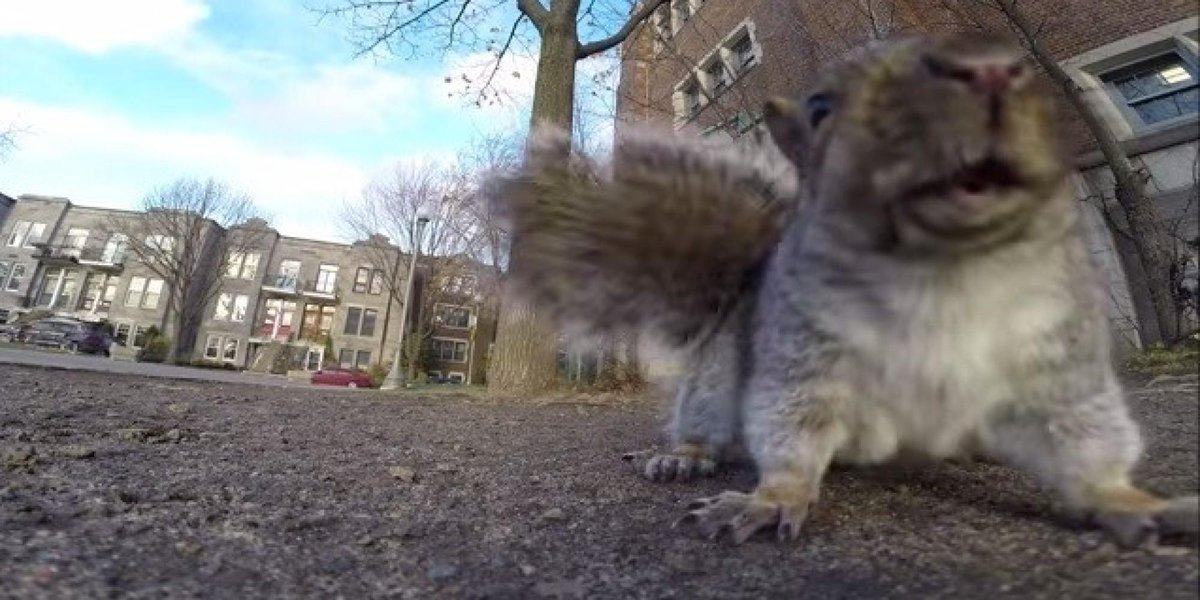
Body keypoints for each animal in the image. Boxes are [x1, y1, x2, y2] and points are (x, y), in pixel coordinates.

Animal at [487, 32, 1199, 547]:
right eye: (821, 109)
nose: (987, 75)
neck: (934, 270)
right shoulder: (803, 359)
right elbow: (792, 431)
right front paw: (771, 499)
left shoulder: (1050, 355)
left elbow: (1080, 438)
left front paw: (1130, 500)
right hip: (721, 375)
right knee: (709, 418)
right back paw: (682, 456)